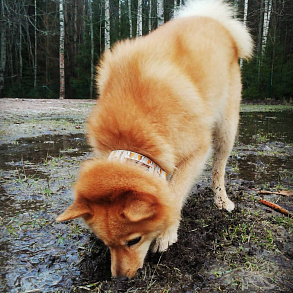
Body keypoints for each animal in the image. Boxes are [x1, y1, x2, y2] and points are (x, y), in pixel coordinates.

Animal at [56, 0, 252, 278]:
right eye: (106, 244)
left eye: (134, 241)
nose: (119, 279)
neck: (132, 139)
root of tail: (210, 18)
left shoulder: (197, 151)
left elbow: (175, 192)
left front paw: (167, 232)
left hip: (226, 128)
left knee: (219, 168)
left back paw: (221, 199)